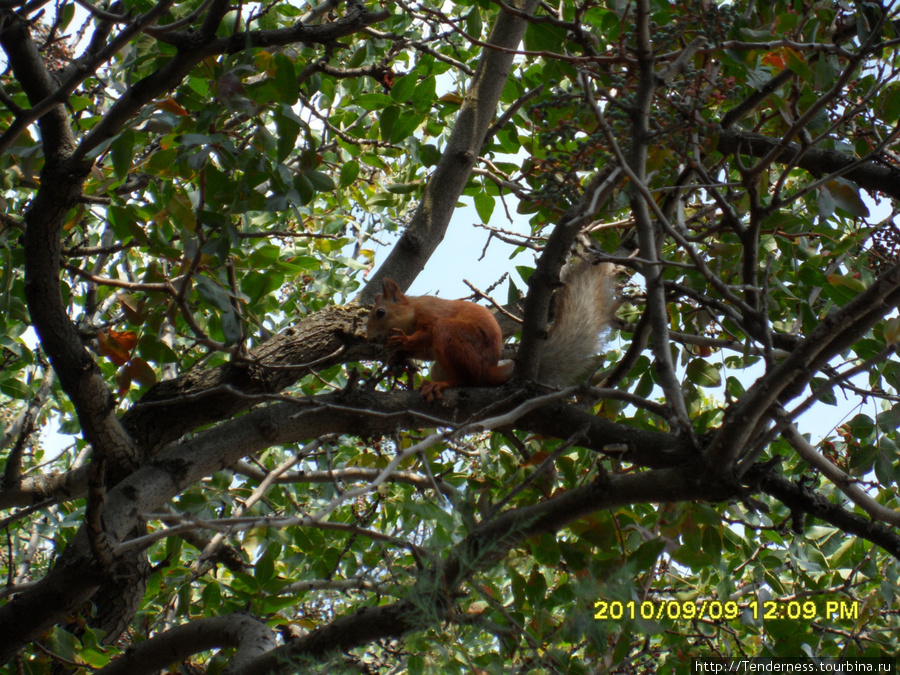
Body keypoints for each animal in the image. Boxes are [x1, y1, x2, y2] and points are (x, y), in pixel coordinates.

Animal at [366, 262, 620, 402]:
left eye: (380, 312)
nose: (369, 338)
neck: (412, 310)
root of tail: (487, 369)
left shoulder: (432, 314)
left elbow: (426, 333)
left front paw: (402, 340)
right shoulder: (428, 349)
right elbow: (424, 352)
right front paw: (397, 356)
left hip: (454, 336)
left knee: (467, 379)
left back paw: (443, 385)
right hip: (441, 366)